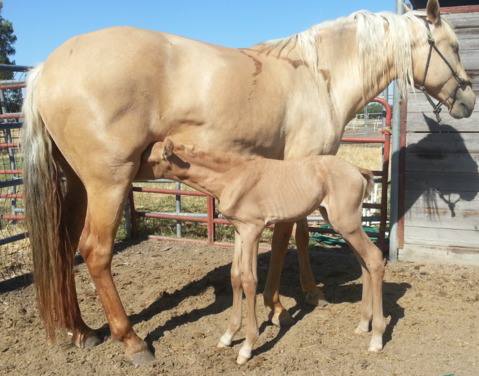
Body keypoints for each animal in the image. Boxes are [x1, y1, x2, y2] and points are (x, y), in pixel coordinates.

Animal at [137, 139, 388, 364]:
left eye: (150, 158)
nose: (131, 171)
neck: (232, 176)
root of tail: (357, 170)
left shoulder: (252, 230)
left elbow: (249, 280)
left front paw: (247, 347)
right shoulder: (239, 231)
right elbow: (235, 276)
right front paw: (228, 336)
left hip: (346, 223)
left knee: (374, 258)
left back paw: (376, 338)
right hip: (340, 222)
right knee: (364, 262)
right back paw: (363, 325)